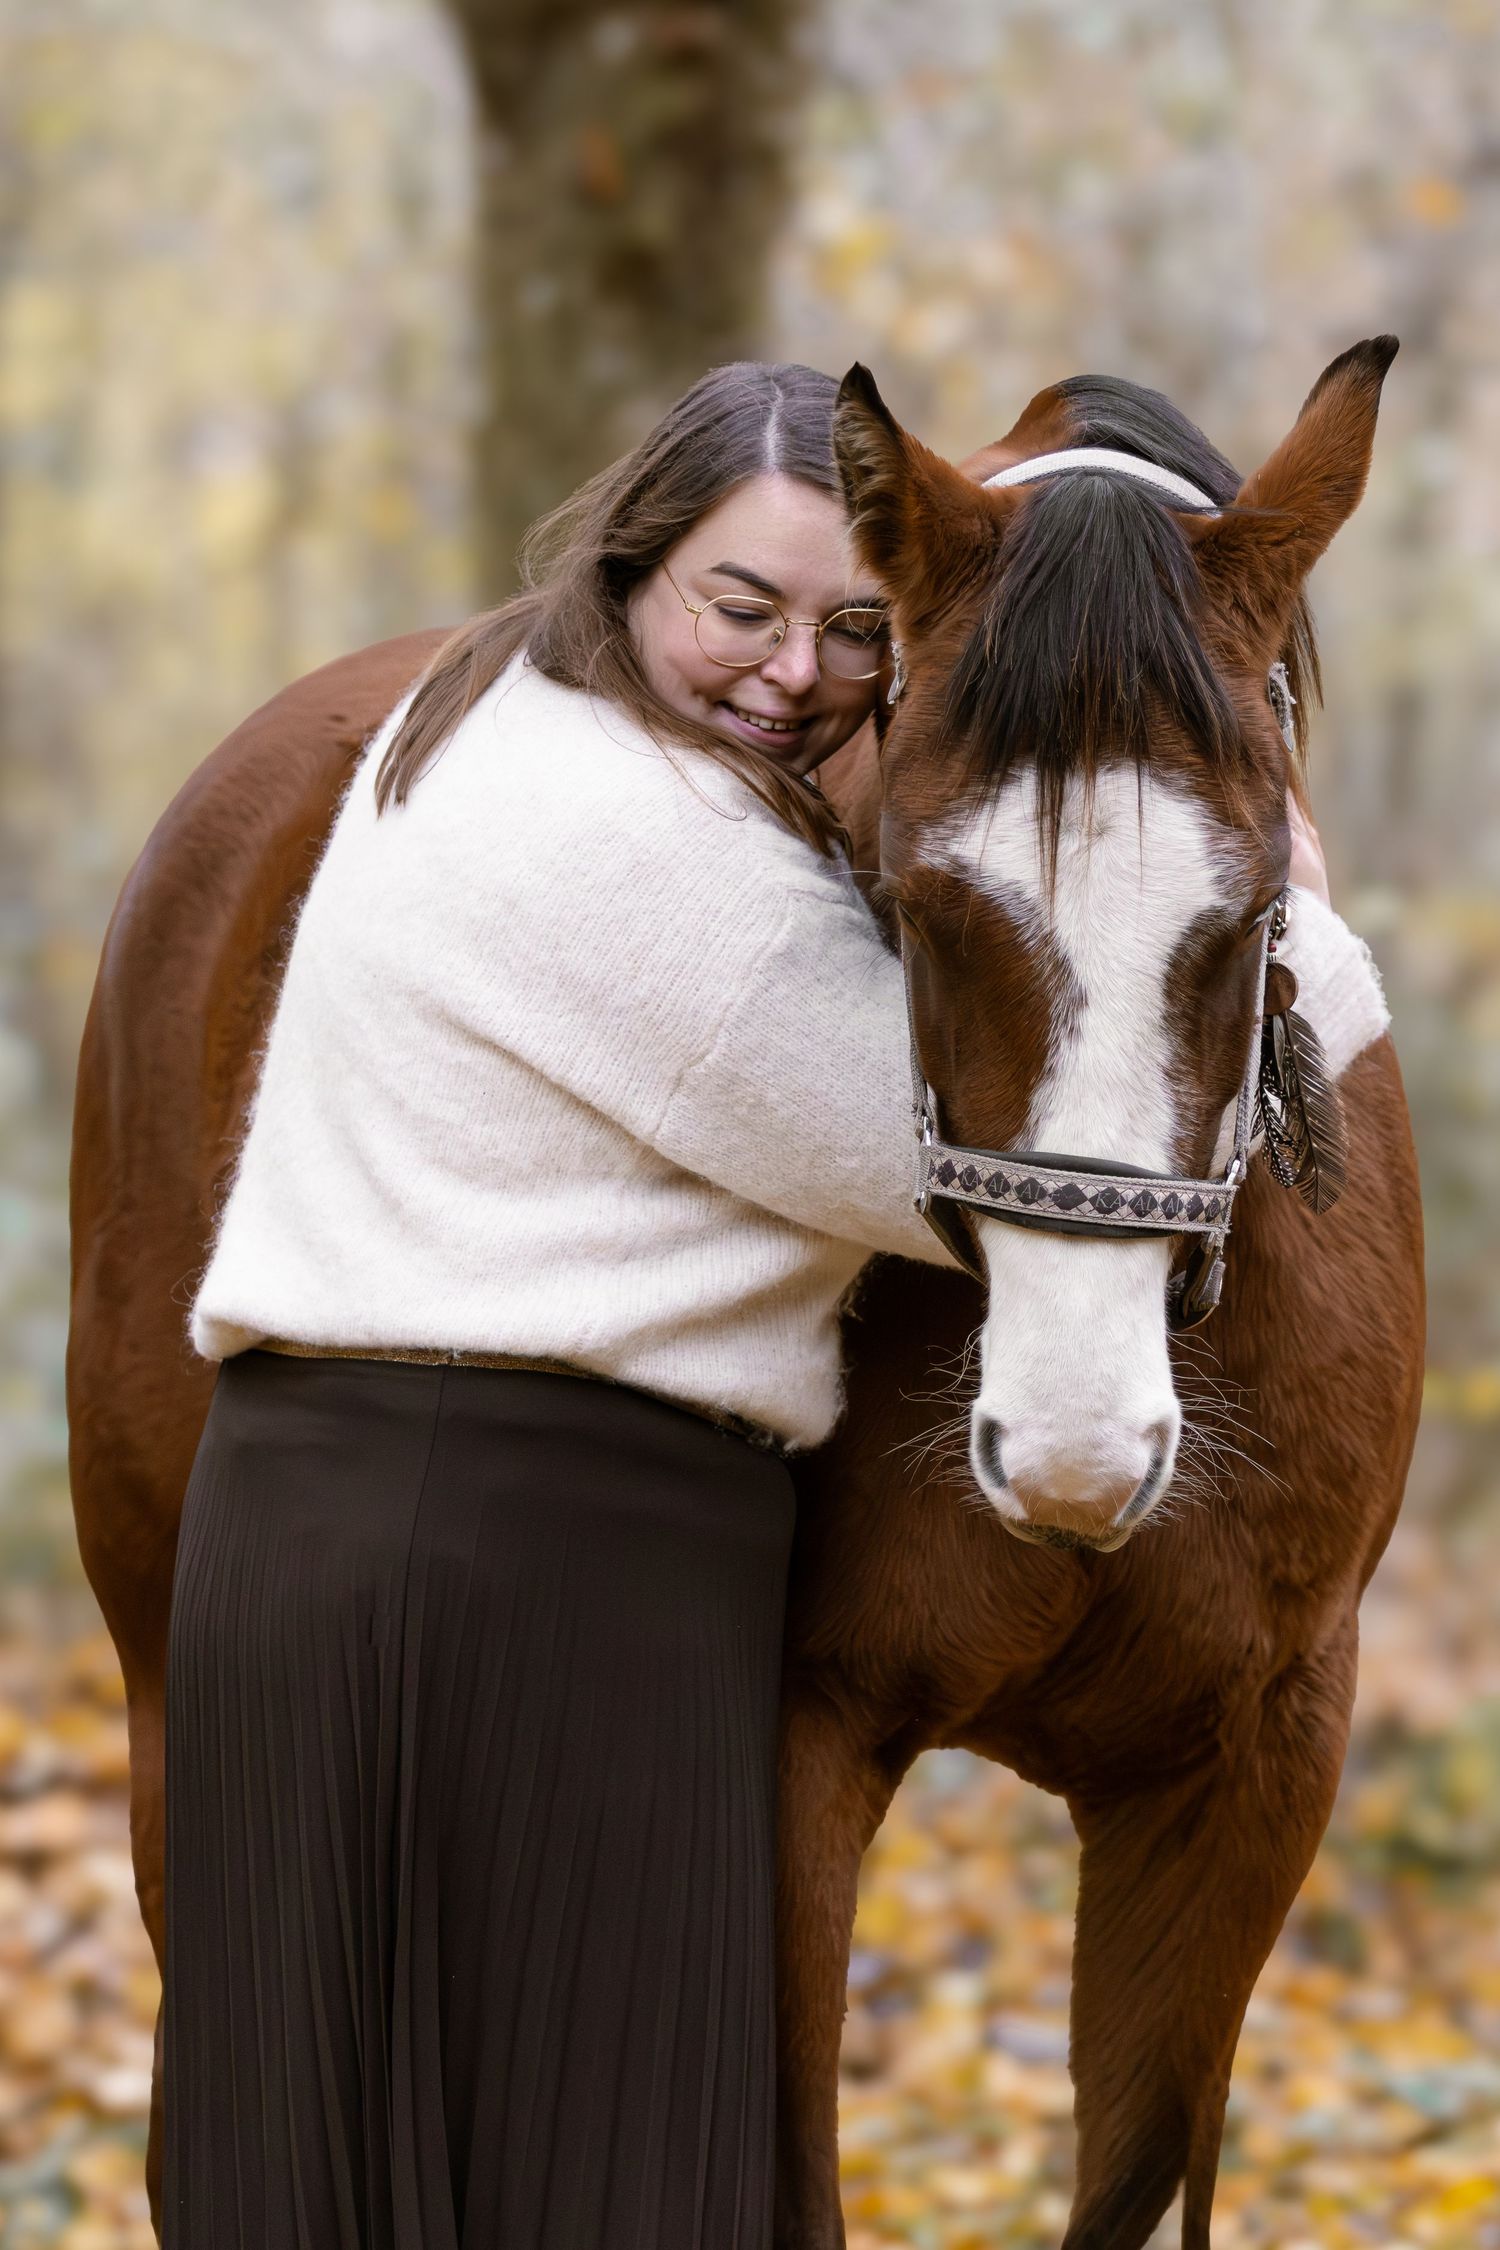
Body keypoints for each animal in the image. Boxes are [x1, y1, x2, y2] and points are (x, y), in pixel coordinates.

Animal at [68, 340, 1423, 2248]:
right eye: (914, 904)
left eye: (1246, 917)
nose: (1075, 1452)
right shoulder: (795, 1755)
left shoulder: (1246, 1786)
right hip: (167, 1714)